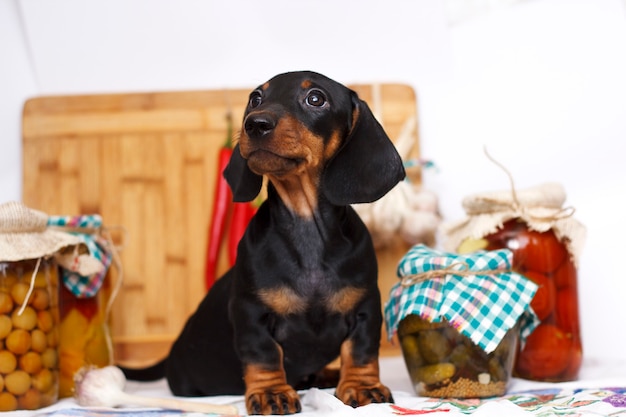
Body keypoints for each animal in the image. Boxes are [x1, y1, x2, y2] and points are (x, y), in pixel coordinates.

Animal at [122, 70, 404, 412]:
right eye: (256, 98)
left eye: (316, 98)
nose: (255, 124)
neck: (306, 228)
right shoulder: (251, 314)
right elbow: (264, 355)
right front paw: (271, 392)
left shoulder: (366, 308)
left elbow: (361, 350)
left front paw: (362, 386)